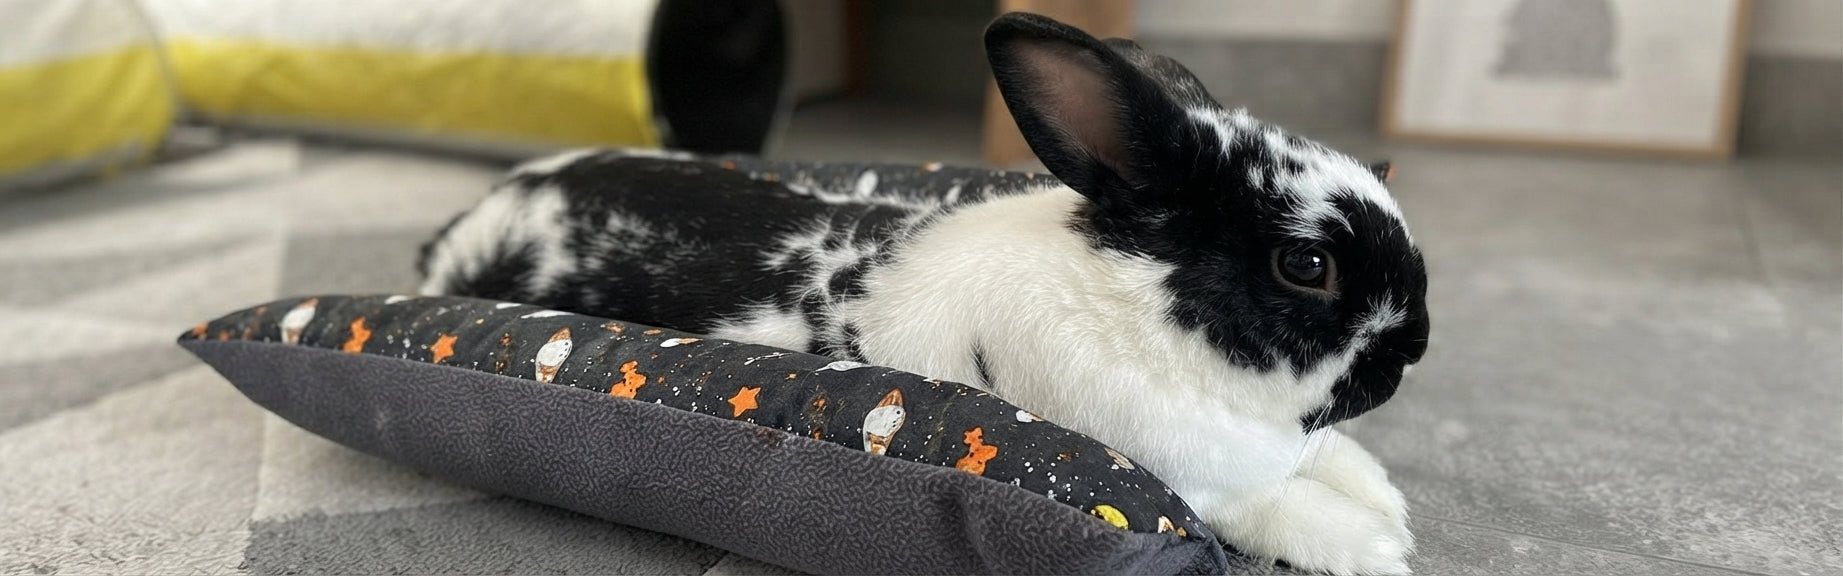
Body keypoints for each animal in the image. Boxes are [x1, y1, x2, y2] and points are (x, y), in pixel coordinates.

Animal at [418, 12, 1429, 576]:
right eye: (1306, 265)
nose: (1412, 349)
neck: (1137, 306)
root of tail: (474, 222)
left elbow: (1323, 460)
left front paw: (1381, 495)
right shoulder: (1189, 480)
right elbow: (1264, 509)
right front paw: (1377, 547)